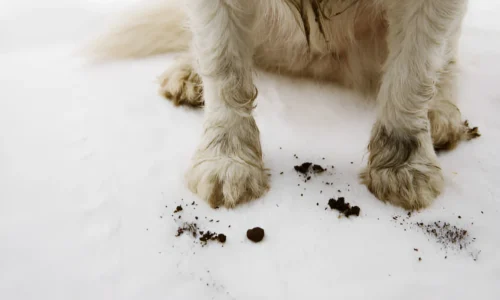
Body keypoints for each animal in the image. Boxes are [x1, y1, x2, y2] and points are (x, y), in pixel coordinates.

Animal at [89, 0, 480, 211]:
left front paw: (404, 166)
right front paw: (226, 161)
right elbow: (223, 65)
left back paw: (441, 114)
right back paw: (189, 73)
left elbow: (413, 72)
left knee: (446, 59)